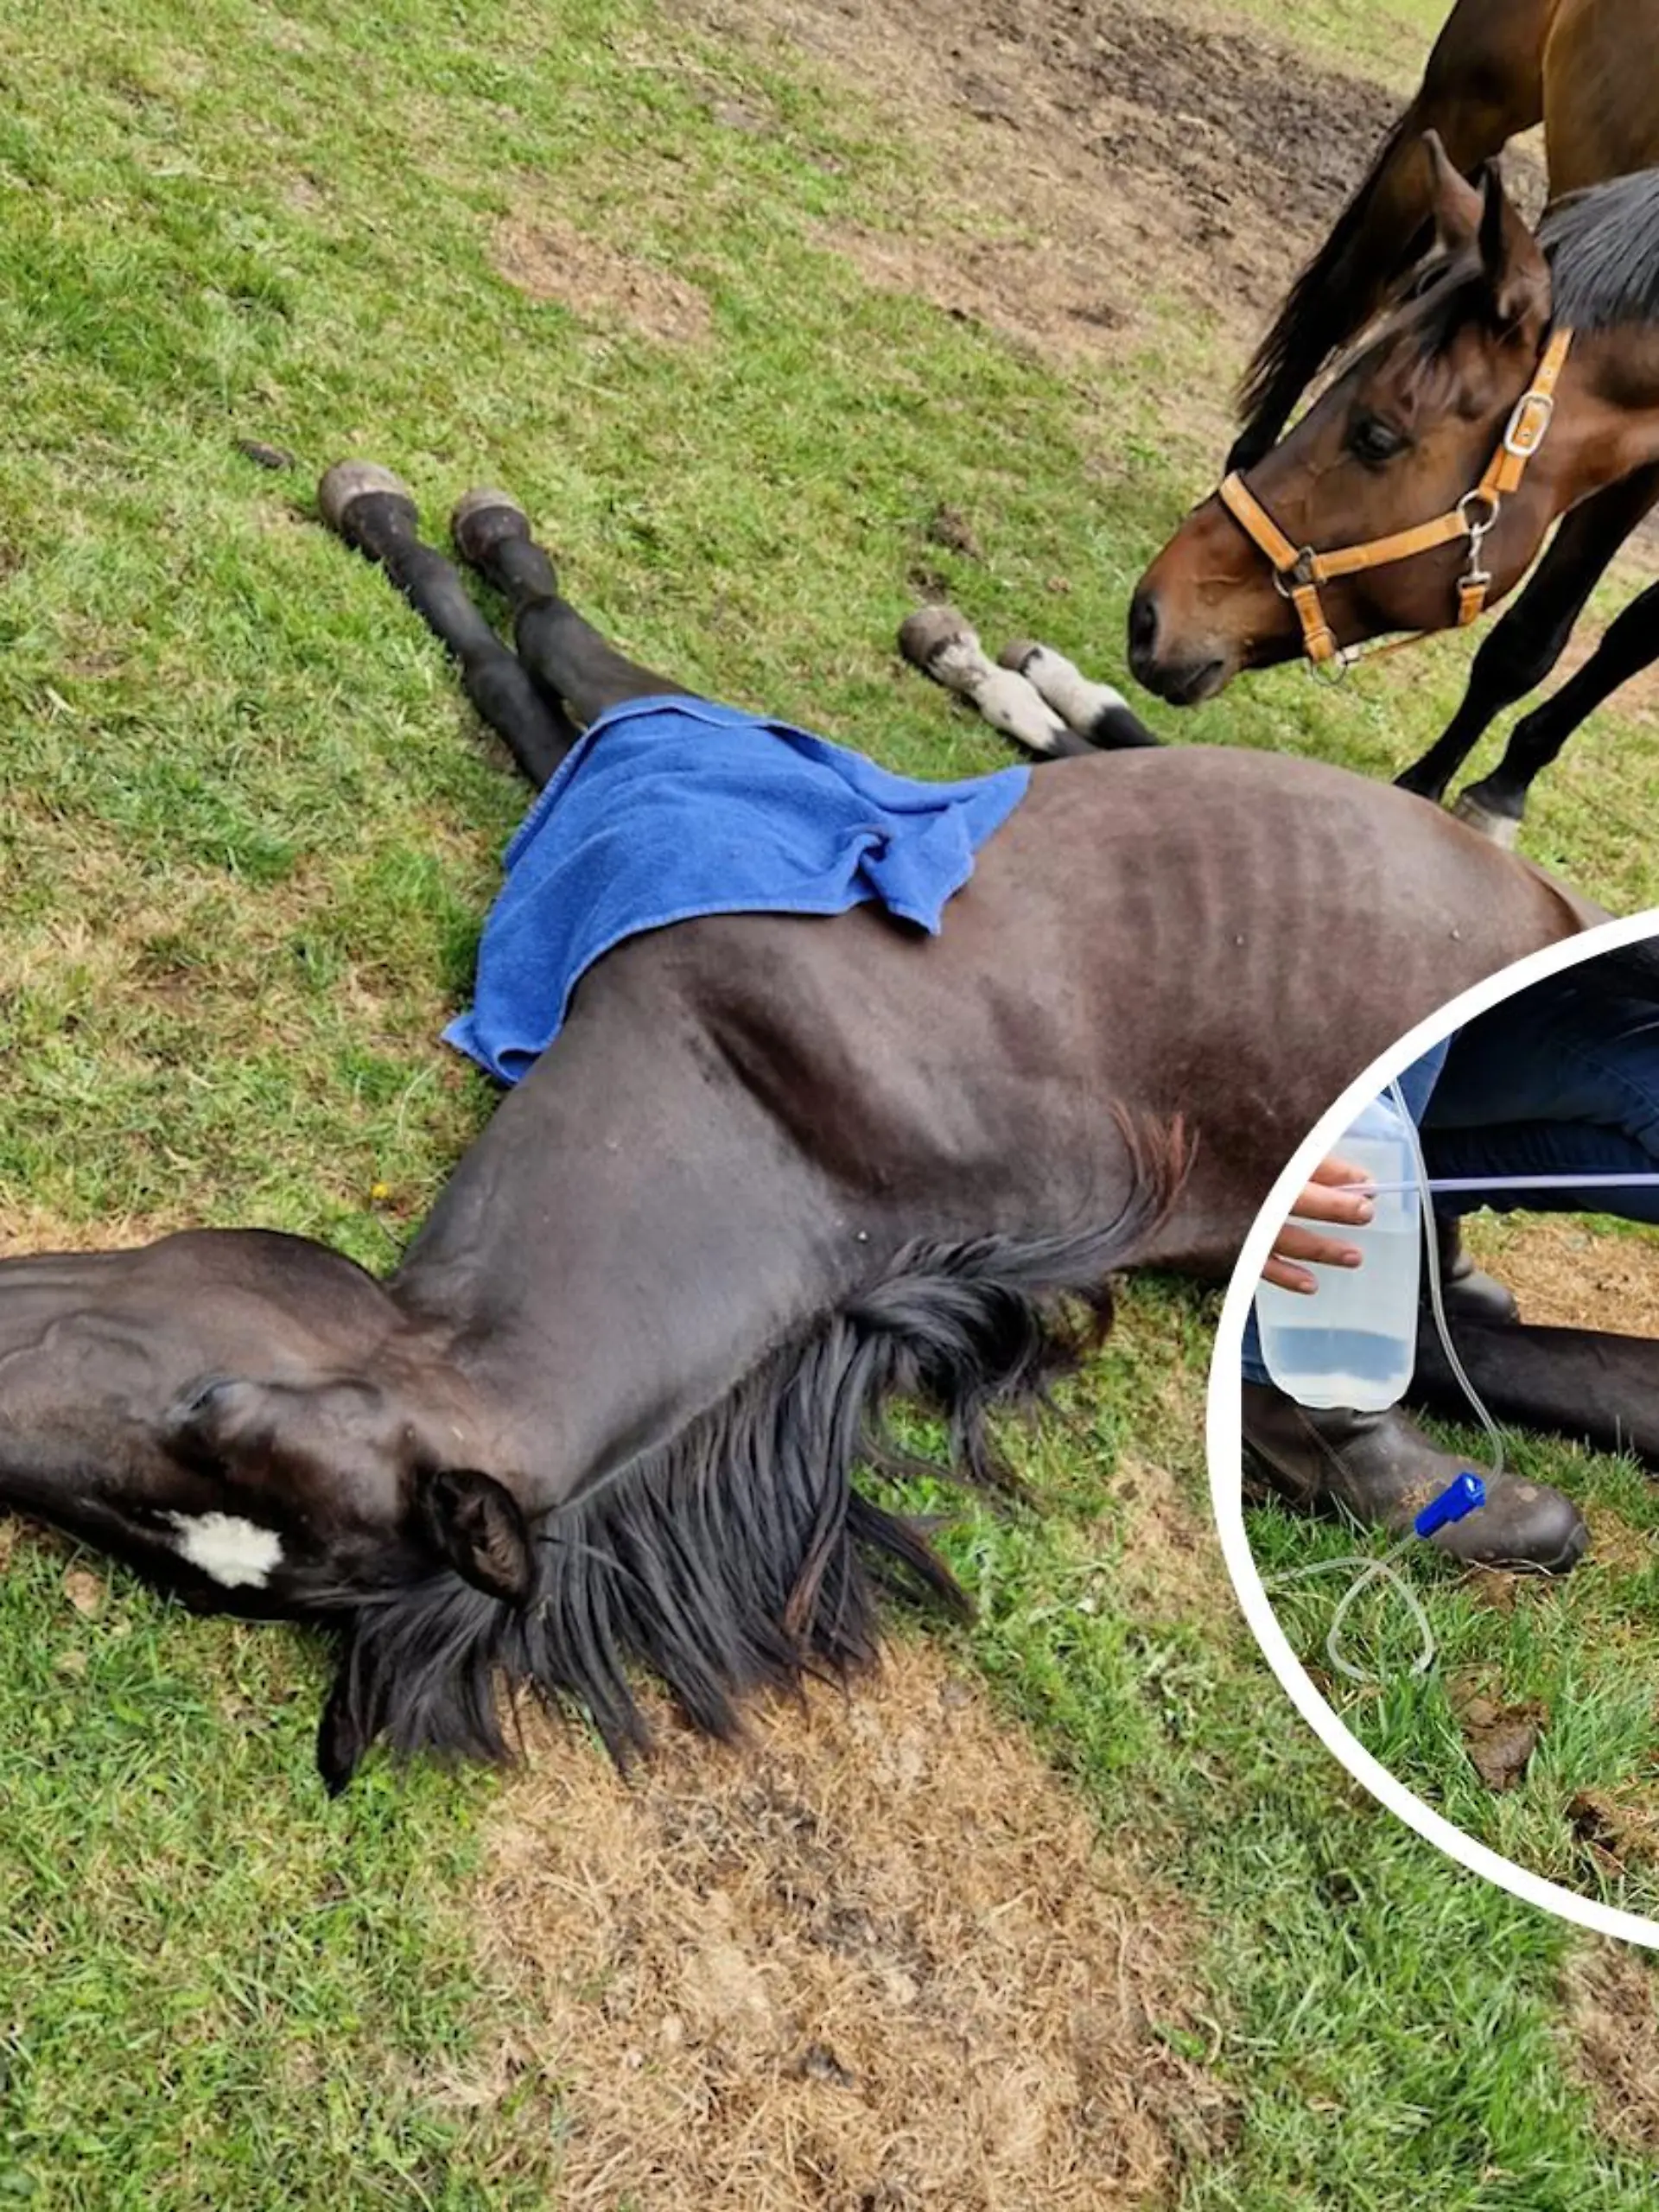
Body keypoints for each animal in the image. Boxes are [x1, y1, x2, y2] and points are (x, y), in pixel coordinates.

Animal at [0, 462, 1610, 1793]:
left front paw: (417, 512)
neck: (793, 1097)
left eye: (218, 1415)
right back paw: (1011, 670)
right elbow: (518, 679)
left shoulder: (668, 737)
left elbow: (536, 638)